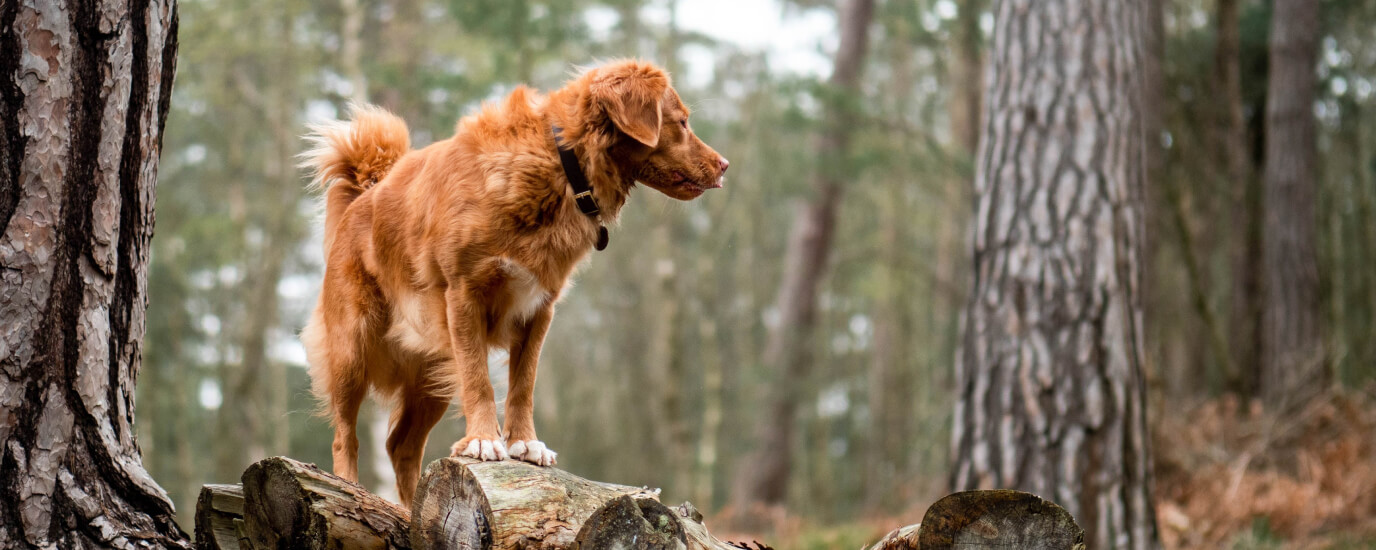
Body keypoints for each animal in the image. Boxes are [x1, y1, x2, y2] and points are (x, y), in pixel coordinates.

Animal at [301, 61, 732, 506]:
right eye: (681, 122)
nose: (725, 165)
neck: (562, 166)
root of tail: (362, 197)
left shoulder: (538, 308)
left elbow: (523, 384)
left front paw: (524, 443)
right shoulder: (464, 296)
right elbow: (480, 380)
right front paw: (483, 440)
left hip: (431, 373)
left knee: (400, 445)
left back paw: (408, 511)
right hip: (353, 349)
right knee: (345, 436)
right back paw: (347, 488)